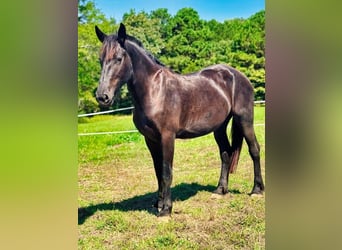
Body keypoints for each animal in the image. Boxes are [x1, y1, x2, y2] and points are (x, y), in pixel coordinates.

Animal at [93, 22, 264, 216]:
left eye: (119, 58)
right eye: (100, 59)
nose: (102, 97)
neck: (155, 91)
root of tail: (237, 75)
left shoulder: (167, 137)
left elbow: (167, 172)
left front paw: (166, 210)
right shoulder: (150, 139)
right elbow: (158, 171)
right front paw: (158, 203)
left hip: (245, 120)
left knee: (254, 149)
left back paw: (256, 190)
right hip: (219, 127)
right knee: (225, 153)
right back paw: (220, 190)